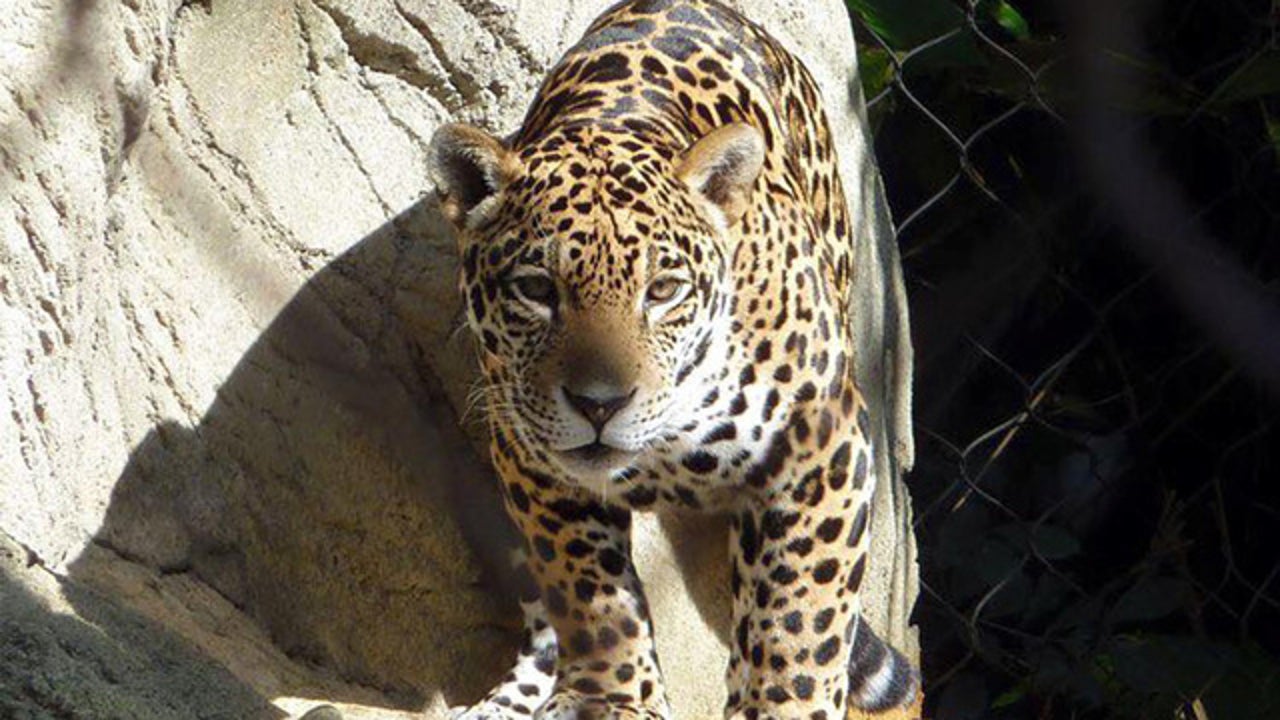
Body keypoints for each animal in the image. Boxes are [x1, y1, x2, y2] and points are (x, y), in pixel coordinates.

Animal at [423, 1, 921, 718]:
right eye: (537, 289)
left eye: (662, 291)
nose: (599, 404)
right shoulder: (531, 460)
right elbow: (589, 591)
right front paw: (613, 698)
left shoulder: (822, 450)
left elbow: (802, 618)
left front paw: (786, 700)